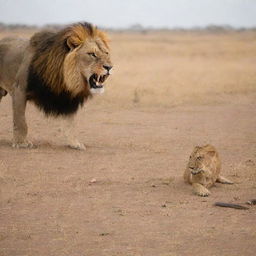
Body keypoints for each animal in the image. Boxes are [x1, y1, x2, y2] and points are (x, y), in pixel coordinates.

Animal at [0, 22, 112, 150]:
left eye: (106, 53)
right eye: (92, 54)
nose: (109, 67)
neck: (65, 77)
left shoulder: (69, 98)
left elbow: (71, 124)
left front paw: (75, 143)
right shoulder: (19, 89)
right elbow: (20, 120)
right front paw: (21, 143)